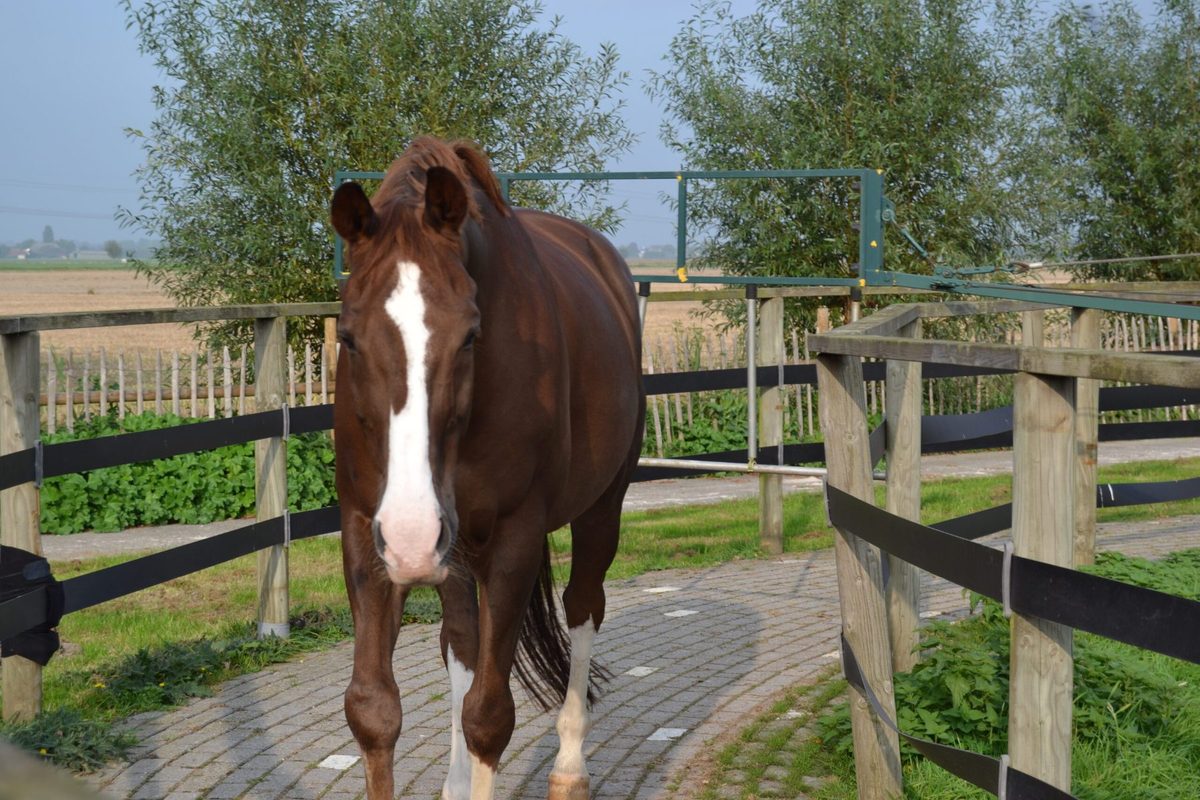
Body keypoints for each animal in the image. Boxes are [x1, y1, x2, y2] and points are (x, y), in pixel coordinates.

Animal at [329, 137, 645, 800]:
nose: (413, 533)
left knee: (583, 606)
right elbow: (374, 709)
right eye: (347, 337)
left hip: (600, 508)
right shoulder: (366, 529)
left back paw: (570, 767)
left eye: (471, 336)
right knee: (462, 643)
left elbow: (488, 717)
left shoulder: (514, 536)